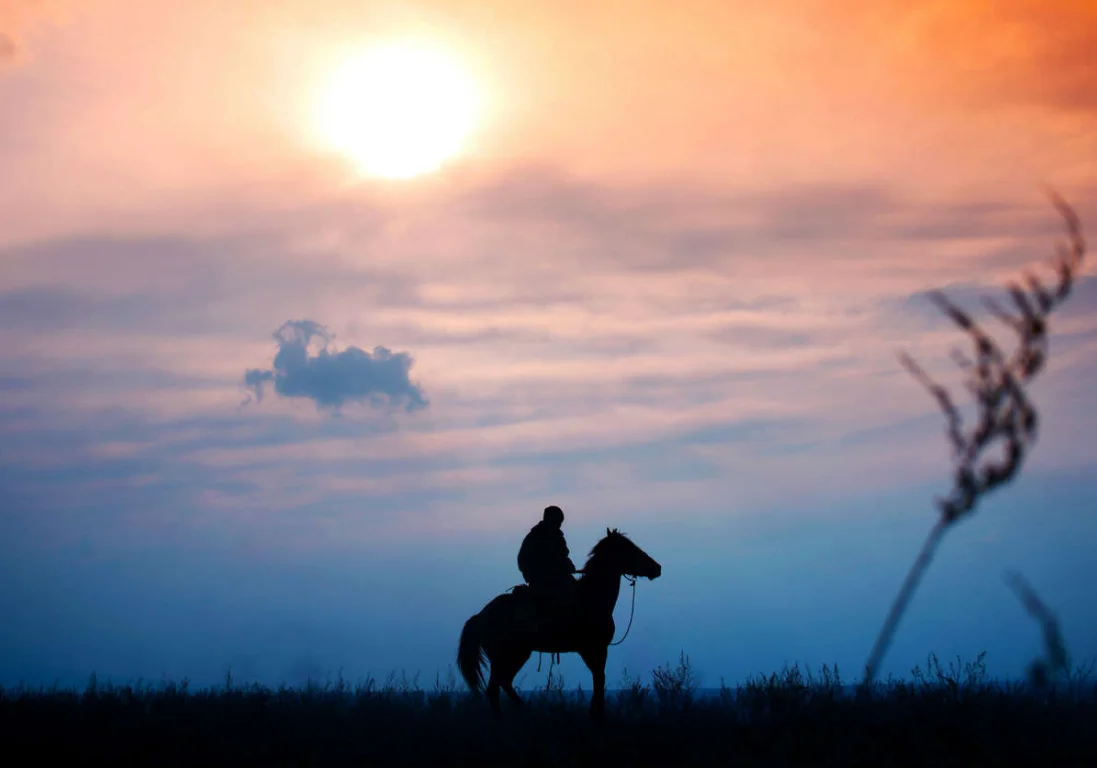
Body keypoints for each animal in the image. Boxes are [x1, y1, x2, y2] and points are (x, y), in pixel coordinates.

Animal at [454, 528, 658, 724]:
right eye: (628, 547)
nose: (657, 568)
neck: (591, 599)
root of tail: (481, 615)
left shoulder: (593, 650)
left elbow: (598, 679)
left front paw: (596, 714)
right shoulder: (594, 649)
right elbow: (599, 679)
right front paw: (598, 715)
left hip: (516, 655)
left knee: (504, 683)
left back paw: (528, 712)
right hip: (506, 655)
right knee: (494, 688)